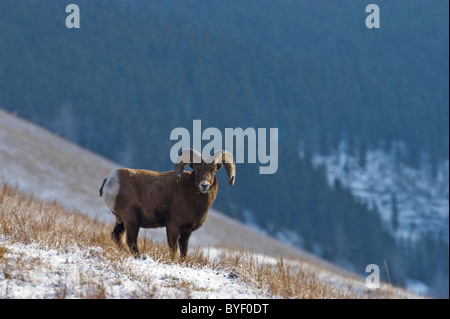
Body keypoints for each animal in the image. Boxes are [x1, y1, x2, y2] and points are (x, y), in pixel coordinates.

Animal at [99, 150, 236, 260]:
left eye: (213, 171)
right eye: (197, 170)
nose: (204, 185)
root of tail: (110, 180)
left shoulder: (186, 233)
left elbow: (184, 252)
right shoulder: (173, 228)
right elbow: (173, 250)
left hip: (121, 221)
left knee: (116, 236)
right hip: (131, 220)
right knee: (131, 241)